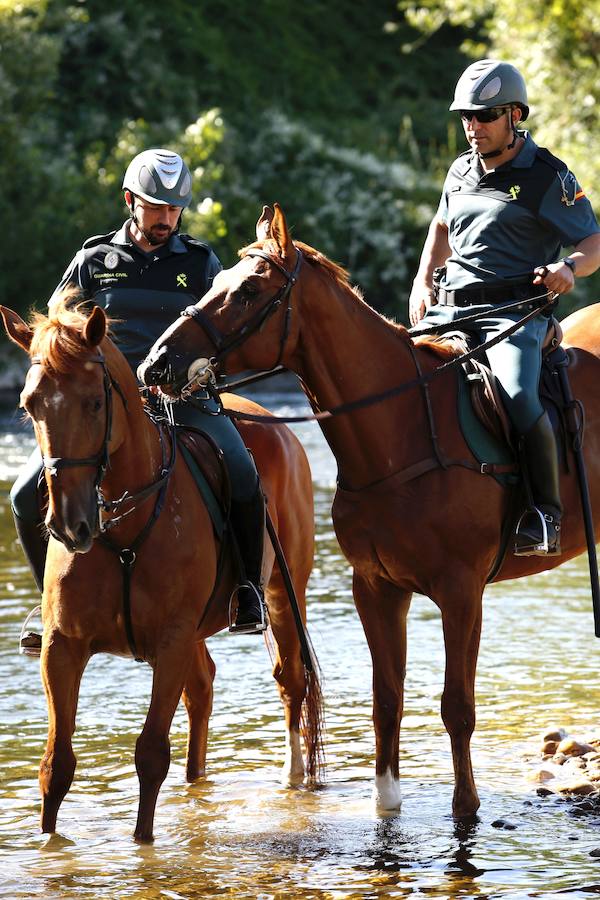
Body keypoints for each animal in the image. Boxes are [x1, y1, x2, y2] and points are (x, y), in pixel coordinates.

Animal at [0, 298, 324, 844]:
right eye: (29, 405)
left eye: (94, 403)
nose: (69, 523)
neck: (123, 526)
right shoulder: (62, 648)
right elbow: (56, 765)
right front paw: (49, 845)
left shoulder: (170, 643)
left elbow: (150, 755)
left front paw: (143, 844)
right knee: (203, 689)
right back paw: (198, 783)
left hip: (283, 591)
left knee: (290, 680)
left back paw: (293, 776)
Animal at [139, 200, 600, 820]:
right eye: (215, 283)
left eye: (248, 291)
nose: (156, 364)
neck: (400, 431)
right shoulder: (377, 588)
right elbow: (387, 699)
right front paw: (386, 799)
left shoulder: (461, 592)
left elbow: (457, 706)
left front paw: (466, 806)